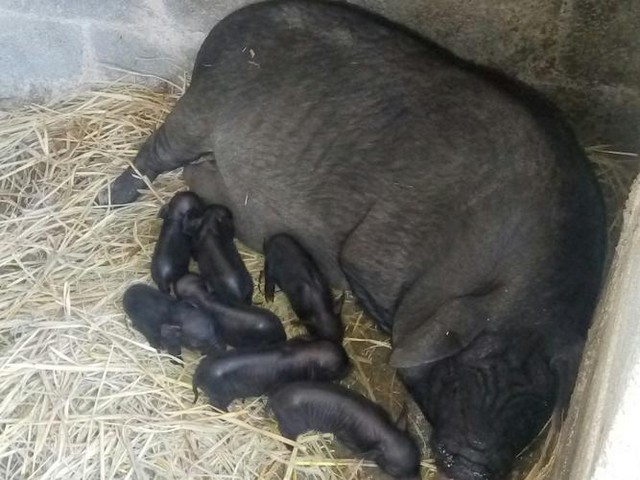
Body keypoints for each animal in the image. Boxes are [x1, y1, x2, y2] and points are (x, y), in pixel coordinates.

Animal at [100, 1, 604, 478]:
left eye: (532, 406)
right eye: (460, 374)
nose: (471, 467)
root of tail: (226, 27)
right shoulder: (373, 256)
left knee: (196, 175)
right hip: (199, 109)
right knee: (157, 152)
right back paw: (110, 199)